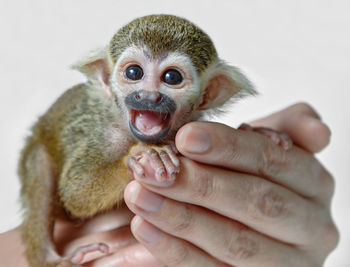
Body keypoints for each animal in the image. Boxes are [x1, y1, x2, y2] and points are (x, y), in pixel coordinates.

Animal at [17, 15, 290, 267]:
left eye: (171, 77)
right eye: (134, 73)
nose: (148, 96)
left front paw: (258, 131)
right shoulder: (104, 135)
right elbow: (75, 193)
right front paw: (141, 156)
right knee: (40, 167)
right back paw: (47, 258)